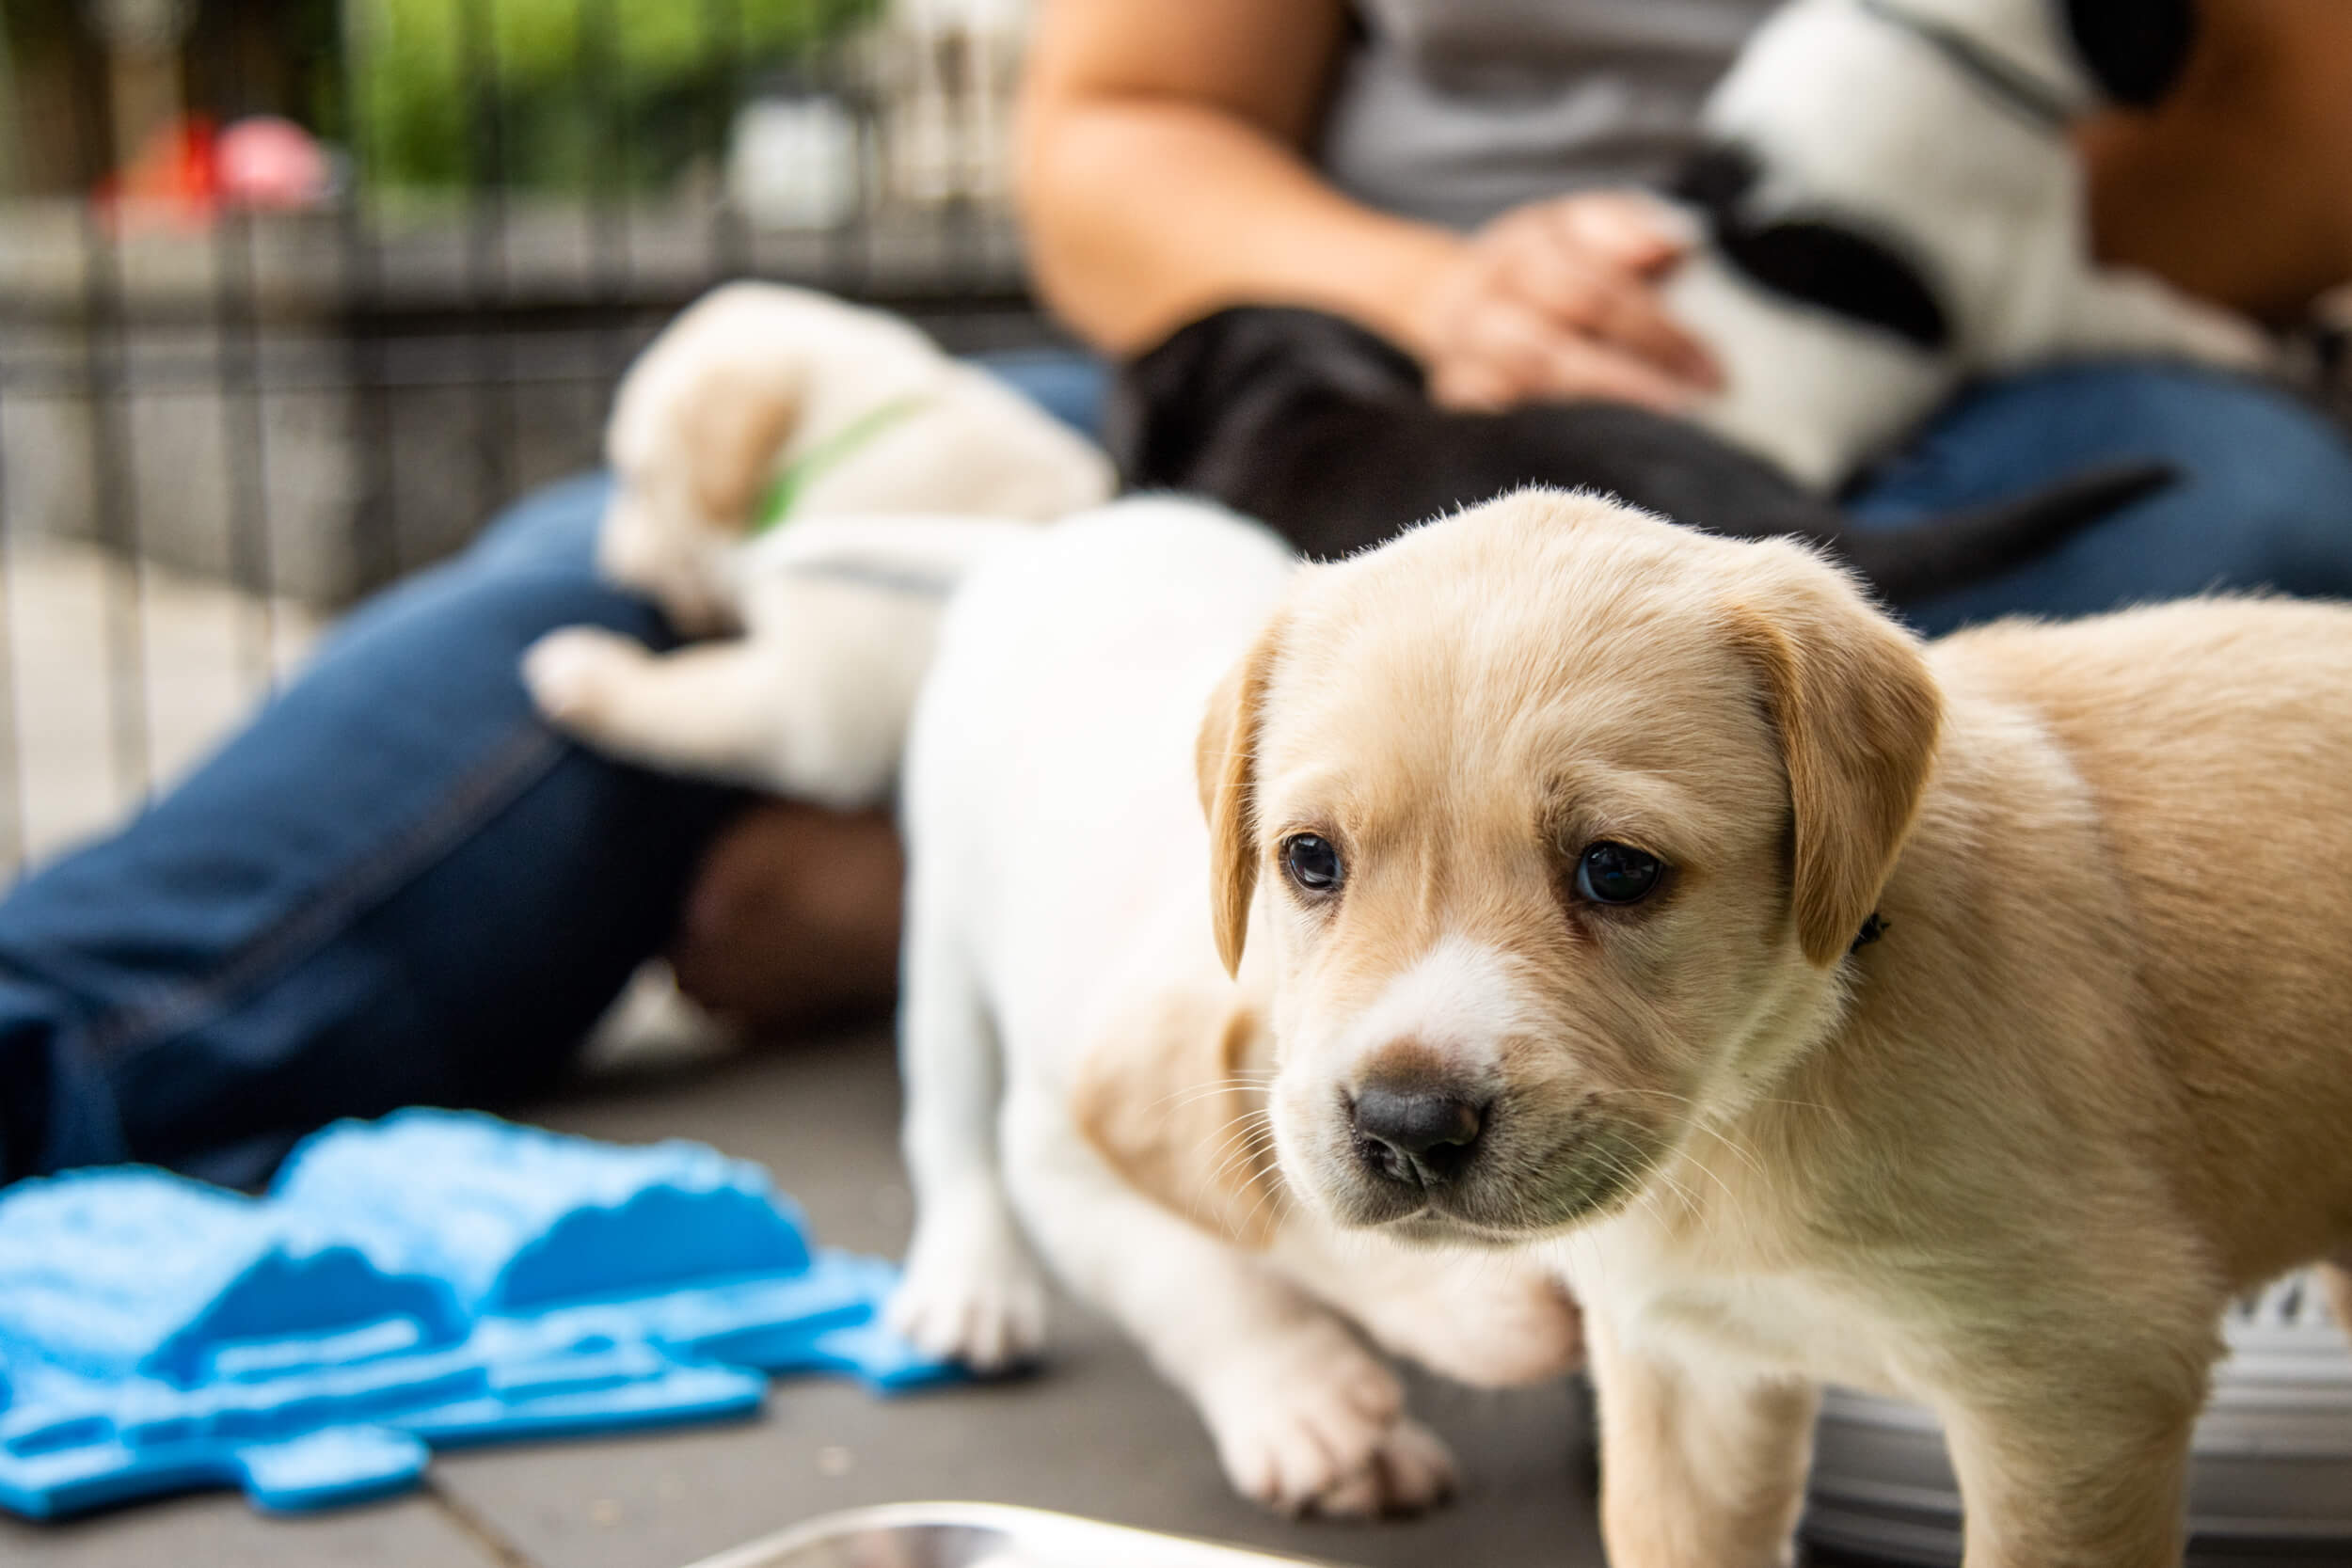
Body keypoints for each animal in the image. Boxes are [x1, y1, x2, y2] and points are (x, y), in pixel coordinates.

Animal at [524, 280, 1110, 808]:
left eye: (636, 479)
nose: (610, 564)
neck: (836, 443)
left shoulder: (811, 715)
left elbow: (690, 698)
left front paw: (592, 674)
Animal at [889, 496, 1590, 1513]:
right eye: (1395, 1149)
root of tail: (1049, 539)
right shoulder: (1065, 1159)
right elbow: (1205, 1276)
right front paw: (1305, 1398)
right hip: (943, 931)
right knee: (949, 1126)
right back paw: (970, 1281)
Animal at [1204, 483, 2352, 1560]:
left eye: (1616, 869)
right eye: (1312, 858)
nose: (1406, 1125)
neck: (1757, 1097)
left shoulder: (2084, 1386)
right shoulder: (1693, 1375)